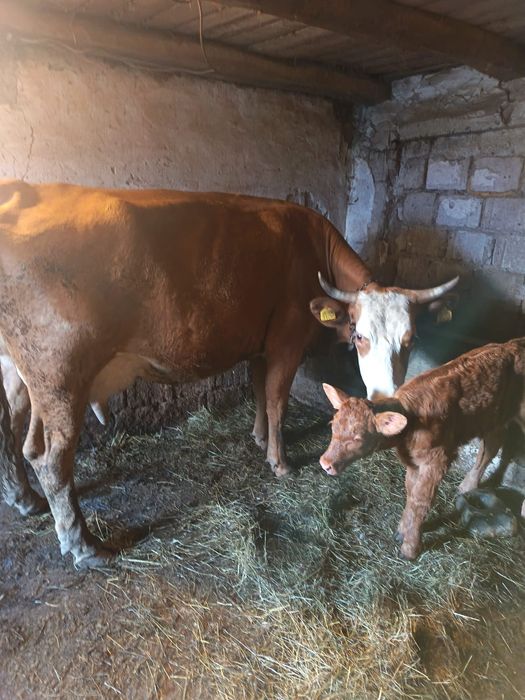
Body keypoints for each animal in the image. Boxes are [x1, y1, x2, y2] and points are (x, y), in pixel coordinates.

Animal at [0, 180, 457, 566]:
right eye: (360, 335)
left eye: (411, 337)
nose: (384, 394)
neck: (312, 248)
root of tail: (24, 189)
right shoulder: (287, 340)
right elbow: (276, 399)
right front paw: (279, 461)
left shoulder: (259, 342)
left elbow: (258, 390)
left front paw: (258, 437)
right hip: (59, 376)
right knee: (50, 458)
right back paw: (84, 546)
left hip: (20, 372)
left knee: (15, 433)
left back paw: (24, 499)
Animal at [320, 338, 525, 560]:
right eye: (332, 426)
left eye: (358, 437)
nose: (325, 463)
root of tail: (515, 343)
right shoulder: (413, 462)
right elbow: (411, 492)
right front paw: (402, 531)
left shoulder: (437, 460)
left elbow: (421, 500)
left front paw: (410, 548)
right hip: (493, 417)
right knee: (492, 445)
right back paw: (467, 487)